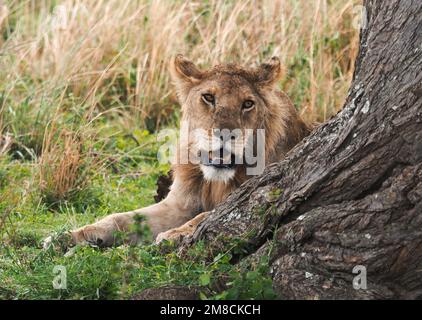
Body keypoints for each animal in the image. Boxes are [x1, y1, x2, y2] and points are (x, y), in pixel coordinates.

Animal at [63, 55, 314, 248]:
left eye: (247, 104)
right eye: (208, 97)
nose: (226, 135)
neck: (216, 181)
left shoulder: (256, 192)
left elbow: (210, 215)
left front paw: (175, 234)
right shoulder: (179, 205)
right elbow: (122, 218)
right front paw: (71, 236)